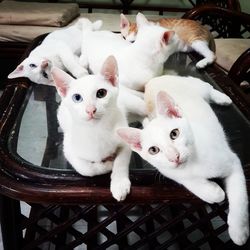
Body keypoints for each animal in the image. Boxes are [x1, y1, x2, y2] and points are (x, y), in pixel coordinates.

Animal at [51, 56, 132, 201]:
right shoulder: (69, 149)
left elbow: (121, 161)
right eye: (77, 97)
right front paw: (107, 165)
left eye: (101, 93)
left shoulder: (124, 139)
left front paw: (119, 183)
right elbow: (87, 169)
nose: (90, 110)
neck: (97, 131)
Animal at [118, 74, 249, 246]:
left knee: (206, 86)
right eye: (153, 150)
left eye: (174, 134)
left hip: (193, 86)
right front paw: (213, 192)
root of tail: (153, 80)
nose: (174, 157)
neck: (193, 163)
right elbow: (188, 182)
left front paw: (239, 232)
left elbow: (239, 198)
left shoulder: (232, 162)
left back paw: (223, 97)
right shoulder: (170, 172)